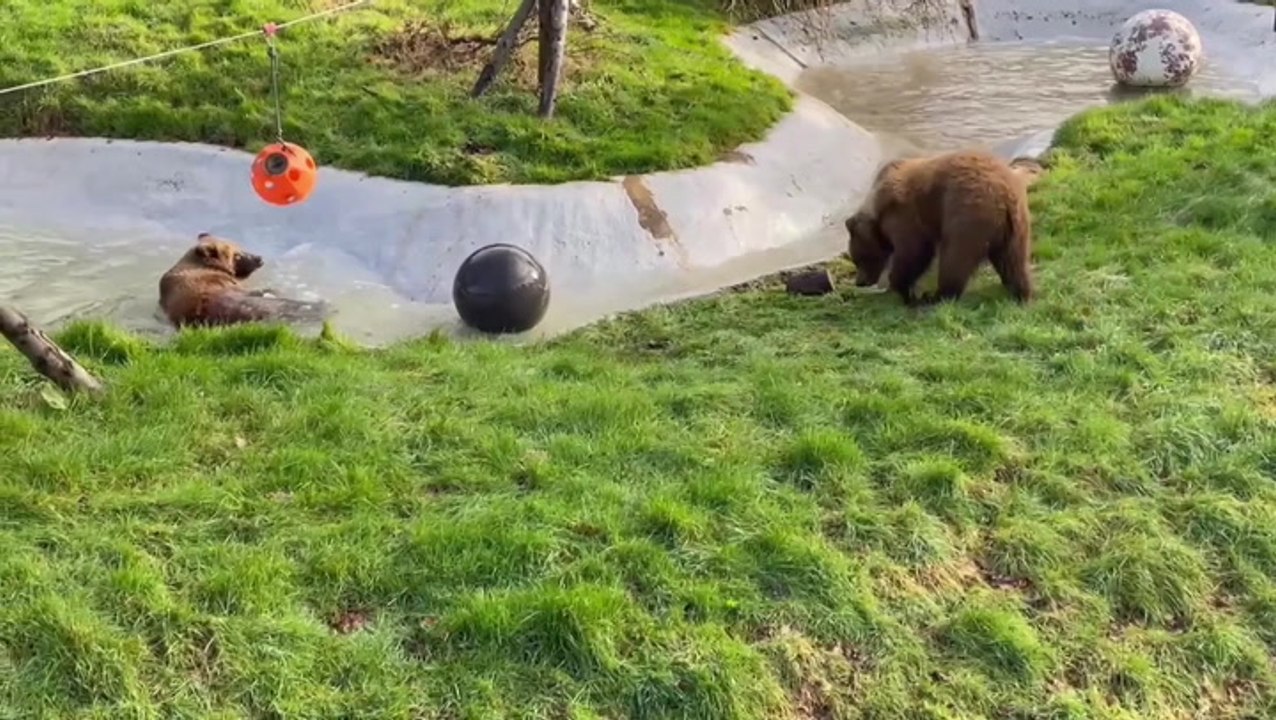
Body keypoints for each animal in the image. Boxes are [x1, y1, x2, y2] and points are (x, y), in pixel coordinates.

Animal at [845, 149, 1034, 306]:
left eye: (859, 259)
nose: (860, 282)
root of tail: (1004, 194)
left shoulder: (904, 214)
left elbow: (913, 251)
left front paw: (905, 290)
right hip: (1016, 225)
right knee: (1013, 260)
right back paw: (1021, 292)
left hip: (966, 213)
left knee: (955, 257)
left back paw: (936, 296)